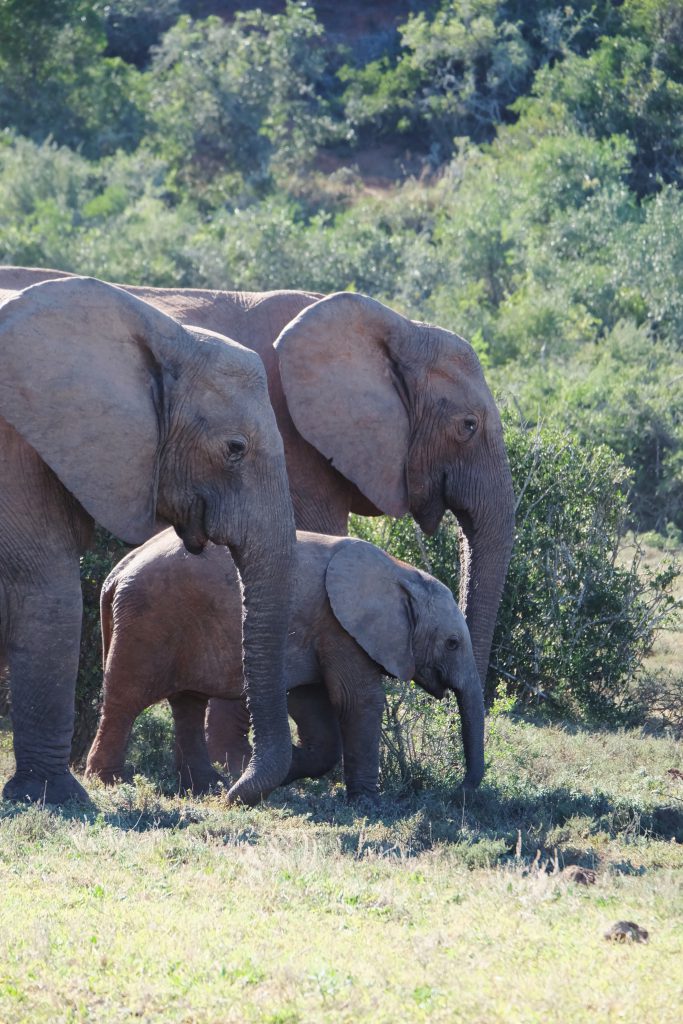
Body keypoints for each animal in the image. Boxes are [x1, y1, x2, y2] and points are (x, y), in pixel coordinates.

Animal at [0, 276, 294, 802]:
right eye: (235, 449)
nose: (229, 796)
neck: (158, 328)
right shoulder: (19, 454)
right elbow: (48, 594)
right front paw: (58, 798)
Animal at [87, 528, 485, 798]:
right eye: (452, 643)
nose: (461, 792)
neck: (402, 573)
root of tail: (117, 572)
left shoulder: (320, 629)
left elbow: (314, 708)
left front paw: (275, 770)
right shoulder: (339, 625)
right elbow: (357, 701)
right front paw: (367, 802)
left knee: (188, 703)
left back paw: (210, 787)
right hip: (147, 621)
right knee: (126, 698)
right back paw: (110, 783)